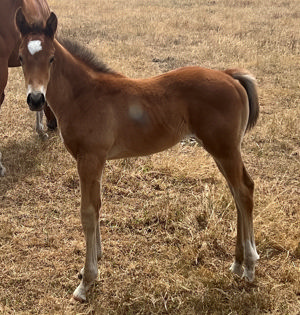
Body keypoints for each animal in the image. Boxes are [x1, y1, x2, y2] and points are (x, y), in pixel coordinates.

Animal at [15, 10, 258, 304]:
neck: (84, 96)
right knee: (237, 192)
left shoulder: (90, 160)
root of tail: (230, 76)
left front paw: (87, 281)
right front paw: (95, 260)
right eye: (20, 58)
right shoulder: (96, 162)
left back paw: (250, 265)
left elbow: (87, 213)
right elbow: (98, 206)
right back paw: (237, 262)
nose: (36, 99)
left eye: (51, 58)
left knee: (244, 190)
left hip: (225, 149)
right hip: (222, 151)